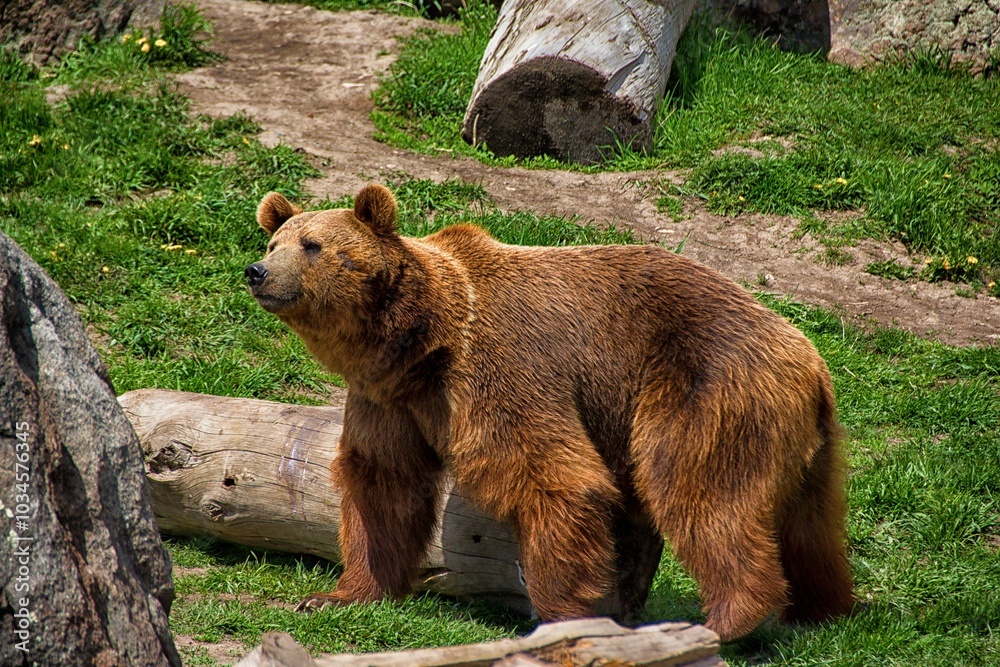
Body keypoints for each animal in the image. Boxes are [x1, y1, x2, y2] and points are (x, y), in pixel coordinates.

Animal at [246, 184, 856, 640]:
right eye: (275, 241)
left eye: (312, 245)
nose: (258, 271)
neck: (421, 339)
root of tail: (812, 360)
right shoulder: (388, 399)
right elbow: (382, 484)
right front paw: (337, 594)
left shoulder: (500, 367)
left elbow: (554, 477)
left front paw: (562, 614)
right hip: (805, 442)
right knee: (809, 526)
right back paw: (821, 609)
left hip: (704, 389)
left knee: (700, 491)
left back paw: (729, 620)